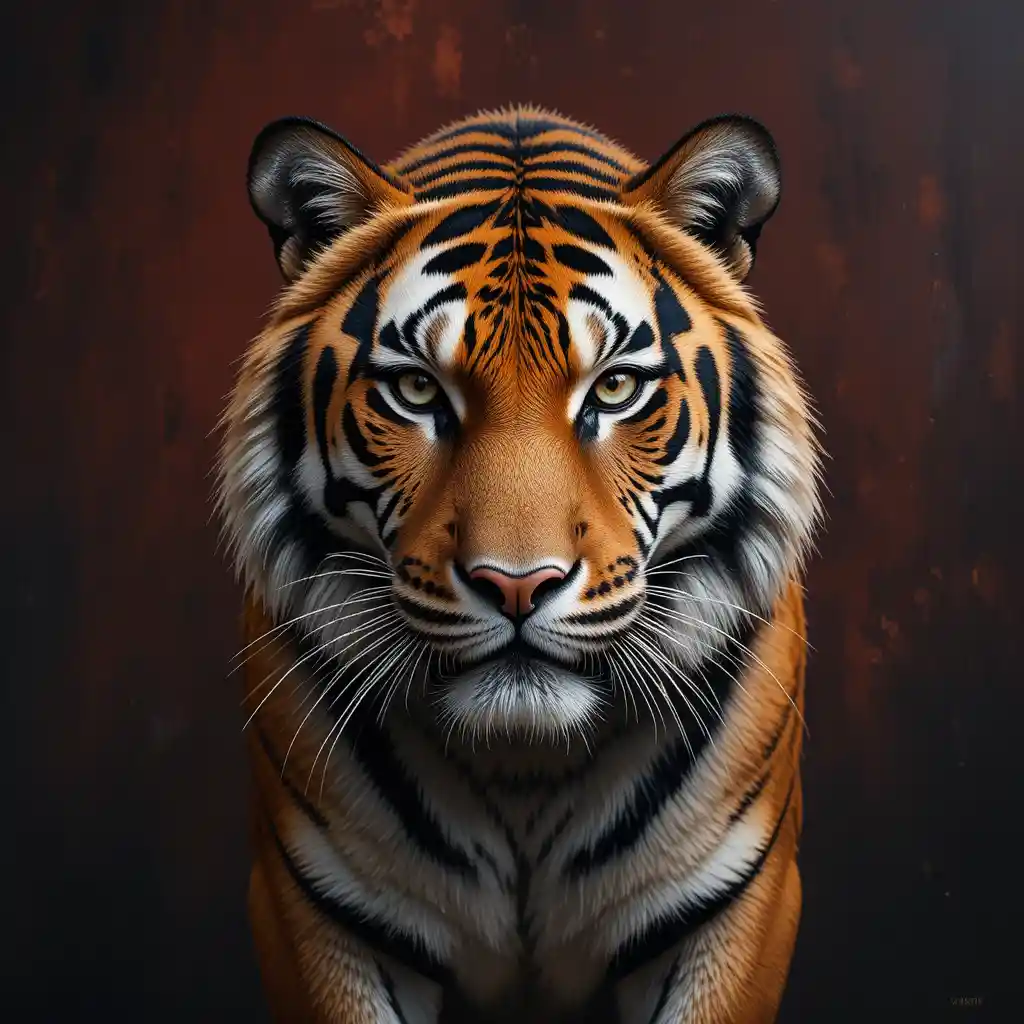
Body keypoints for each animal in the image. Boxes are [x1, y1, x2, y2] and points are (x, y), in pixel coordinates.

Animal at [215, 104, 822, 1024]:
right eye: (418, 392)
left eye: (613, 390)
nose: (516, 585)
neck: (524, 768)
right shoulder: (315, 911)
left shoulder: (734, 905)